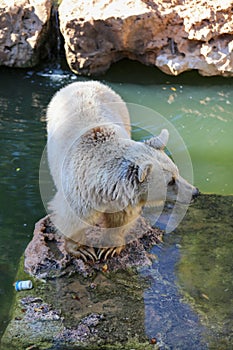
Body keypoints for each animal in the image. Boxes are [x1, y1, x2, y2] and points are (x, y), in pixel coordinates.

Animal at [46, 80, 198, 262]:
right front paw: (81, 250)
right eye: (171, 181)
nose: (195, 192)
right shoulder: (80, 190)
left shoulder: (121, 197)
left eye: (177, 172)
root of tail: (83, 82)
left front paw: (109, 248)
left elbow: (120, 219)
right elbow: (73, 218)